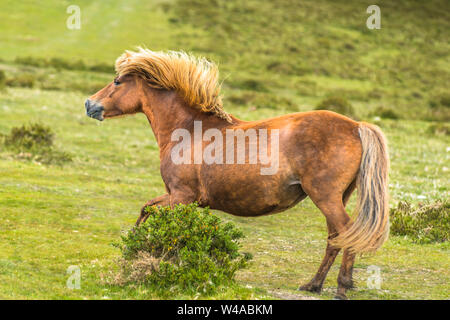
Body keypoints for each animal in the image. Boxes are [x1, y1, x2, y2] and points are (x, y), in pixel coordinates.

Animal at [86, 48, 388, 300]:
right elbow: (149, 211)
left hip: (325, 197)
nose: (89, 105)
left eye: (117, 81)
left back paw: (342, 287)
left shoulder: (181, 196)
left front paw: (137, 255)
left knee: (346, 232)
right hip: (337, 198)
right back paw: (313, 285)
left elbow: (151, 216)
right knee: (334, 238)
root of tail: (356, 126)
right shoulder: (180, 198)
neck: (189, 130)